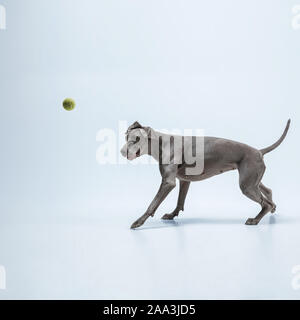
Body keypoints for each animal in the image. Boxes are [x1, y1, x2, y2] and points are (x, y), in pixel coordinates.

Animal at [120, 119, 290, 229]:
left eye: (136, 139)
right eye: (126, 137)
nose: (122, 152)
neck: (162, 144)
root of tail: (259, 151)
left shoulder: (168, 182)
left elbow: (152, 204)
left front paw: (138, 222)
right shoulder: (184, 180)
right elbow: (180, 201)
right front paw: (172, 215)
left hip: (247, 185)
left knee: (265, 203)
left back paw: (255, 220)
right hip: (252, 179)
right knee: (268, 191)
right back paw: (272, 209)